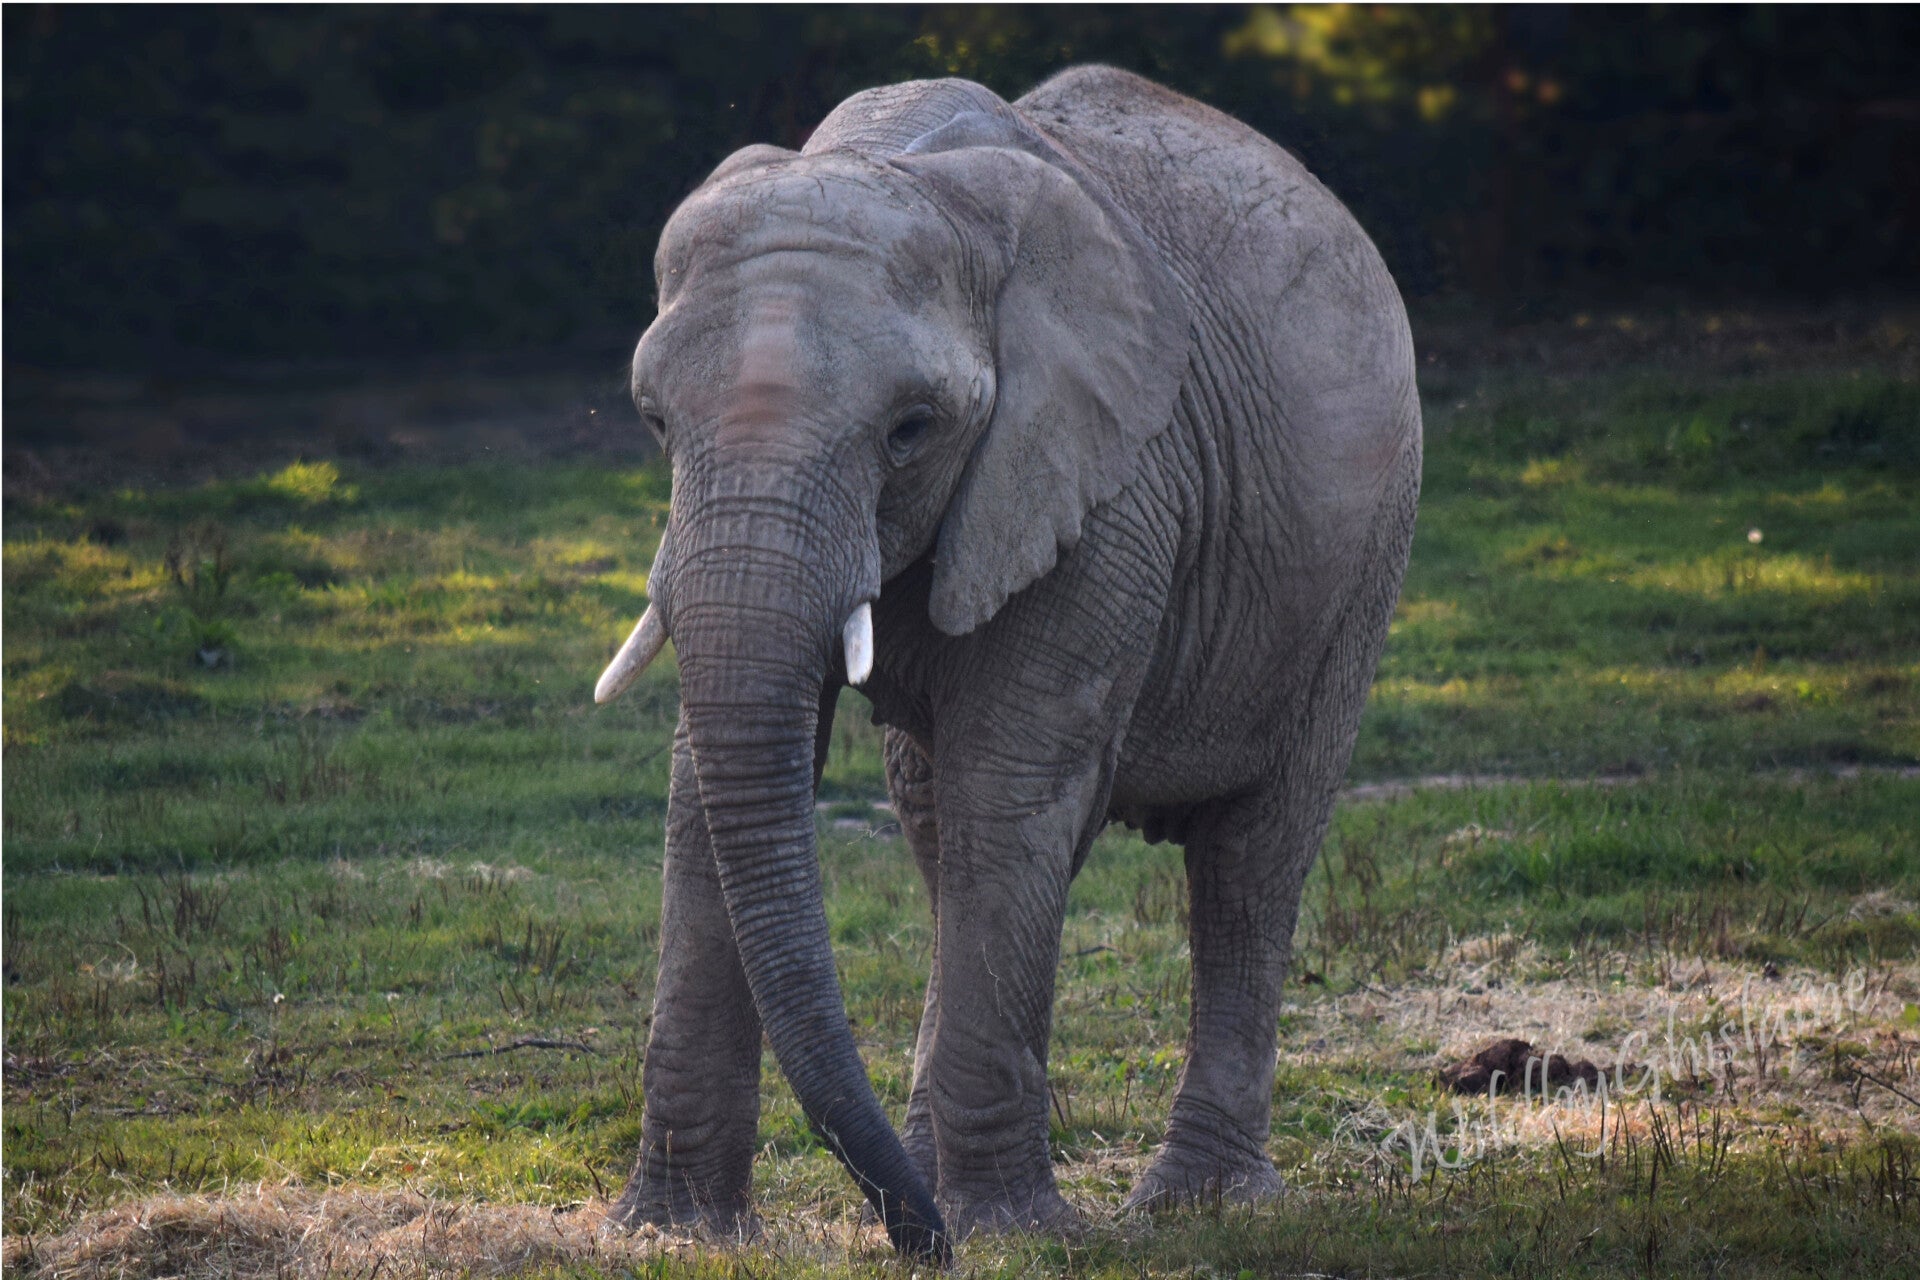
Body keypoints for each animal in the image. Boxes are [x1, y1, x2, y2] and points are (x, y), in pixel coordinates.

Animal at [592, 67, 1421, 1259]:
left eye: (912, 428)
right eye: (655, 421)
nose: (917, 1243)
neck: (892, 162)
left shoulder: (1112, 482)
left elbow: (1014, 782)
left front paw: (1012, 1237)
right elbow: (712, 787)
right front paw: (674, 1235)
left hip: (1360, 565)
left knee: (1249, 860)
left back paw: (1194, 1203)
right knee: (941, 831)